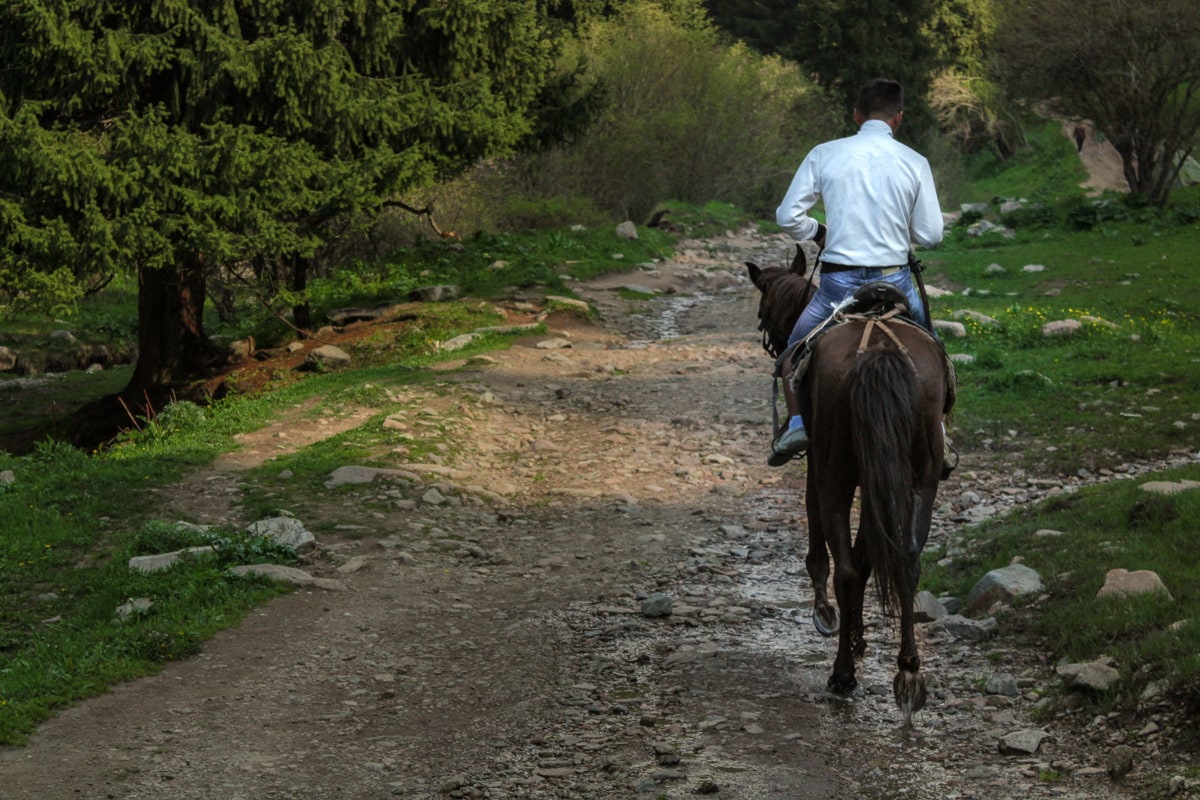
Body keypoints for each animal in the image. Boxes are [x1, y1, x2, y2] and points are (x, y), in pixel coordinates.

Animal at [744, 260, 950, 729]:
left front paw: (831, 619)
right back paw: (908, 675)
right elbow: (870, 552)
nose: (774, 343)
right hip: (920, 479)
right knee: (906, 562)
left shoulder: (817, 467)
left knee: (846, 568)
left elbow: (826, 550)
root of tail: (878, 351)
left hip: (835, 473)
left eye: (764, 311)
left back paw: (842, 674)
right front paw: (859, 636)